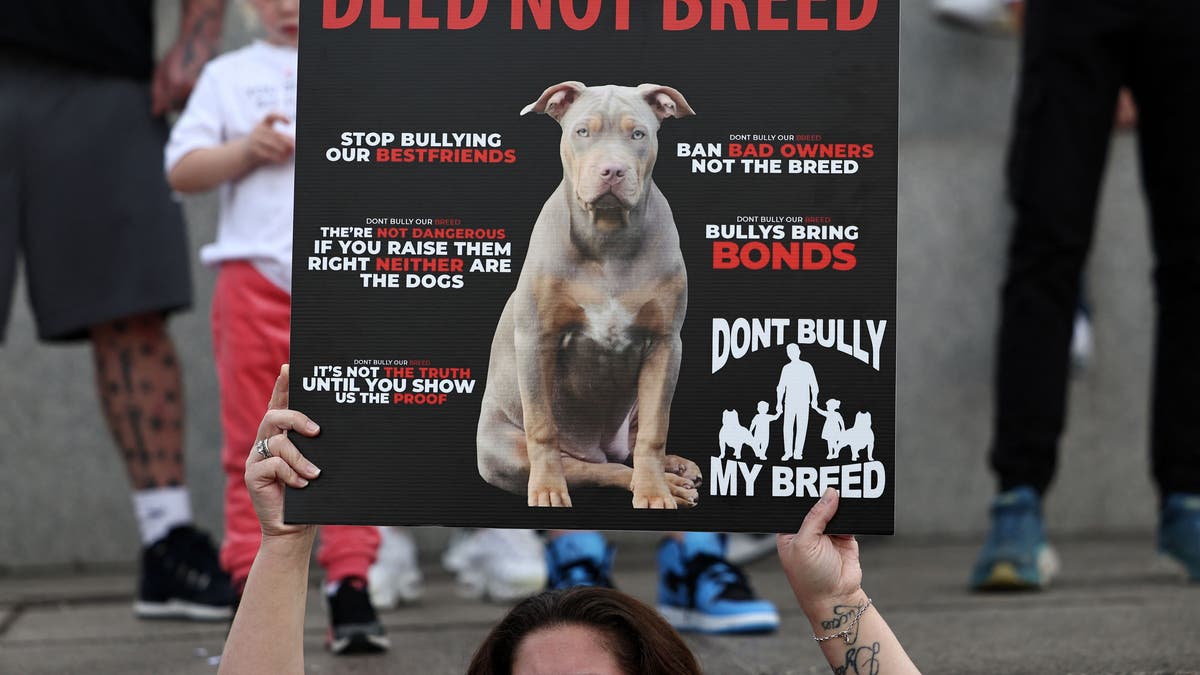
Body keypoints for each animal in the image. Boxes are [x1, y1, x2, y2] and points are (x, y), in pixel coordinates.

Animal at [477, 81, 700, 506]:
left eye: (638, 134)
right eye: (582, 132)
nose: (612, 170)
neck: (608, 239)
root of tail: (600, 447)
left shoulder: (665, 345)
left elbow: (654, 431)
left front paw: (654, 491)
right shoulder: (537, 340)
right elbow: (543, 428)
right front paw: (548, 489)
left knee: (631, 444)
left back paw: (674, 472)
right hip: (507, 451)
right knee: (596, 467)